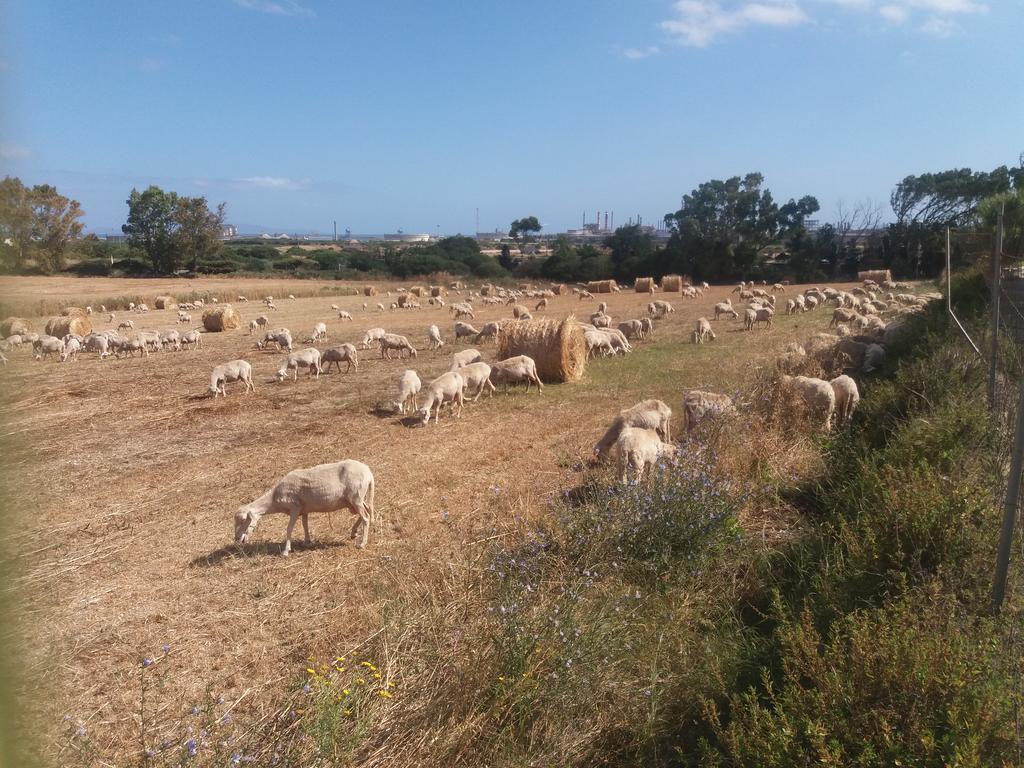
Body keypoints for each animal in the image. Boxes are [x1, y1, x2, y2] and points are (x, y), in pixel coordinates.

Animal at [233, 460, 376, 557]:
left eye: (243, 520)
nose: (237, 539)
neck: (274, 499)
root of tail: (368, 472)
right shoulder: (304, 510)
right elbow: (305, 525)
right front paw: (307, 541)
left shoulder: (295, 508)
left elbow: (289, 528)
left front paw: (286, 551)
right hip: (355, 500)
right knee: (368, 510)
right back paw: (353, 532)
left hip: (355, 497)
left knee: (366, 517)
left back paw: (362, 544)